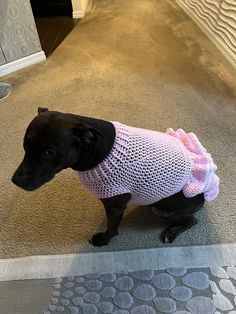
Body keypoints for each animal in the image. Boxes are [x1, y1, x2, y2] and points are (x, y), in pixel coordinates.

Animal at [12, 109, 205, 247]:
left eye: (49, 152)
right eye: (24, 145)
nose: (16, 181)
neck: (96, 149)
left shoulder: (114, 205)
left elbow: (112, 227)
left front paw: (104, 240)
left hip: (161, 210)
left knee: (193, 220)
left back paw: (171, 232)